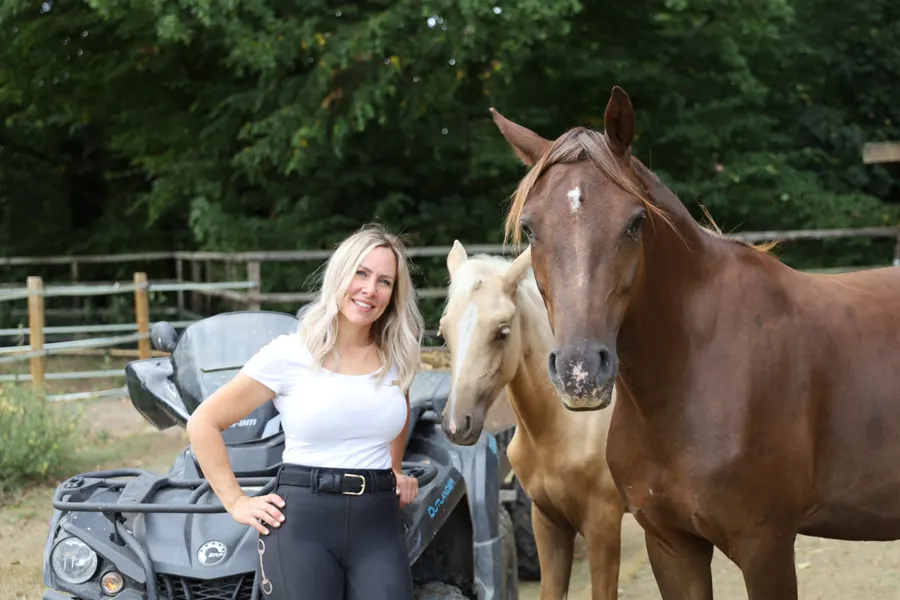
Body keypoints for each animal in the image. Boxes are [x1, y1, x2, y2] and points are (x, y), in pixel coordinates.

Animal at [437, 241, 627, 600]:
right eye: (443, 332)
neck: (571, 425)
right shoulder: (547, 521)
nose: (457, 425)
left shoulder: (603, 526)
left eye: (502, 332)